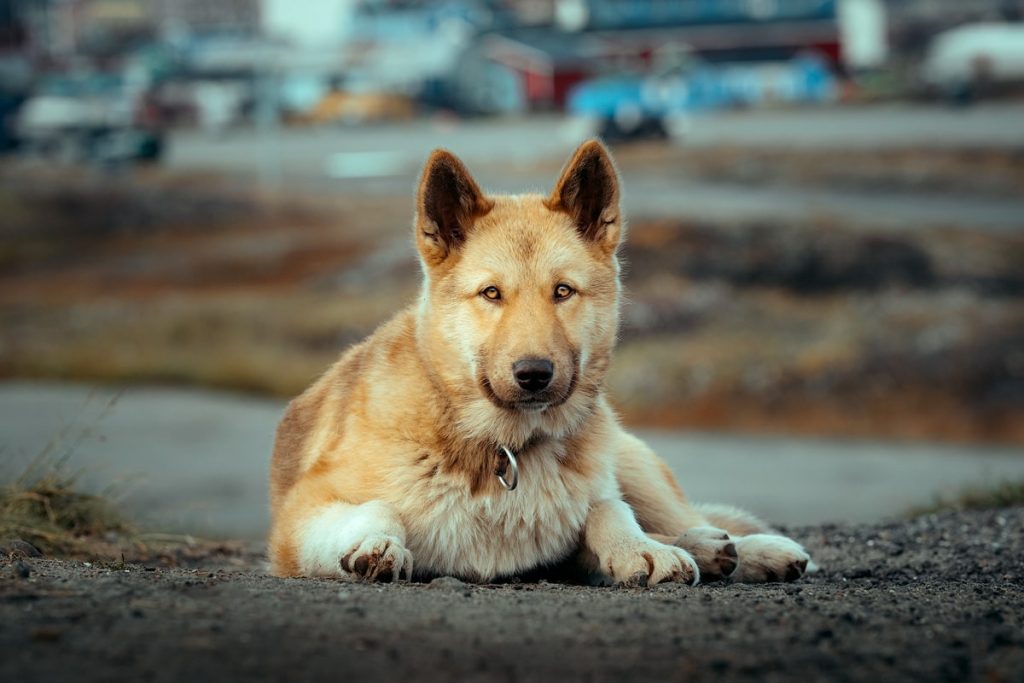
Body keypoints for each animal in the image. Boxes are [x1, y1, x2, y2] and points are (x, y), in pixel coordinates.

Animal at [268, 140, 811, 589]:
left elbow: (608, 509)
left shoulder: (583, 521)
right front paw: (373, 544)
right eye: (491, 293)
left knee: (677, 518)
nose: (533, 374)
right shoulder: (297, 520)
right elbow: (380, 507)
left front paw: (639, 550)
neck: (503, 450)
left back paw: (741, 549)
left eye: (563, 291)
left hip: (632, 462)